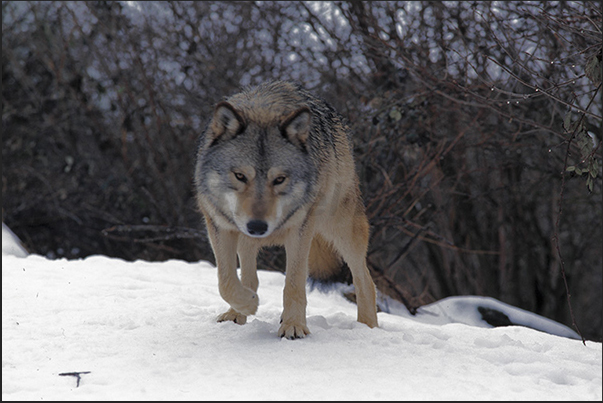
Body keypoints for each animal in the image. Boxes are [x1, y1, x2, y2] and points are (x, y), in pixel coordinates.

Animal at [195, 80, 378, 340]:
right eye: (240, 176)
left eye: (279, 179)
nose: (258, 226)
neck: (262, 111)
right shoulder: (219, 226)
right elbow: (226, 280)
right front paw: (248, 304)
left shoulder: (300, 230)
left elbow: (293, 283)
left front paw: (293, 326)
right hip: (246, 239)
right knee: (249, 277)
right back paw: (237, 312)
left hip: (341, 228)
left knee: (365, 281)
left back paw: (367, 329)